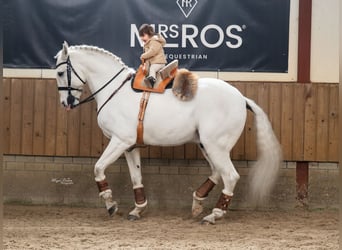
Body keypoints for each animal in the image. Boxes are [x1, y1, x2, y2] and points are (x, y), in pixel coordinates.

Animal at [54, 42, 282, 224]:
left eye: (59, 73)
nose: (66, 103)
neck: (115, 91)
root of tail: (241, 98)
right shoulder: (130, 146)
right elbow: (136, 177)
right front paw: (138, 209)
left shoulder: (120, 141)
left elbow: (98, 168)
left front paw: (111, 205)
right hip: (207, 146)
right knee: (217, 173)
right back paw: (197, 203)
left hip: (215, 146)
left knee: (230, 176)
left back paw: (214, 214)